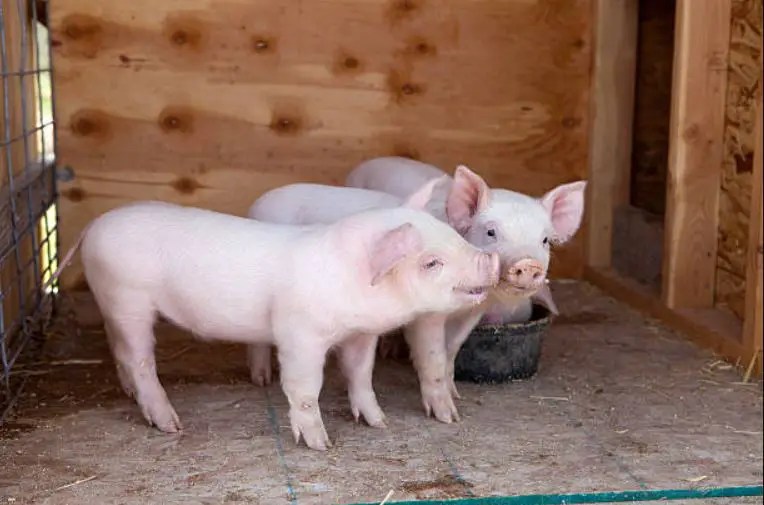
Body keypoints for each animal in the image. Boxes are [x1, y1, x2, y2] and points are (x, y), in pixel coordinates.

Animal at [47, 192, 499, 451]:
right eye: (431, 262)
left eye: (450, 234)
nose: (492, 259)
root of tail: (95, 224)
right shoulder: (300, 334)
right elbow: (305, 387)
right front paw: (321, 446)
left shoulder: (360, 335)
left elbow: (360, 375)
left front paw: (379, 423)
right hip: (128, 300)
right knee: (139, 359)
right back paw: (170, 426)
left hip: (113, 305)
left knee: (120, 350)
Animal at [345, 156, 586, 421]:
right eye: (491, 232)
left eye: (544, 240)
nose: (528, 263)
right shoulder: (428, 313)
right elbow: (433, 356)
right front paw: (448, 417)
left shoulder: (473, 313)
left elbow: (451, 350)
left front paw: (455, 394)